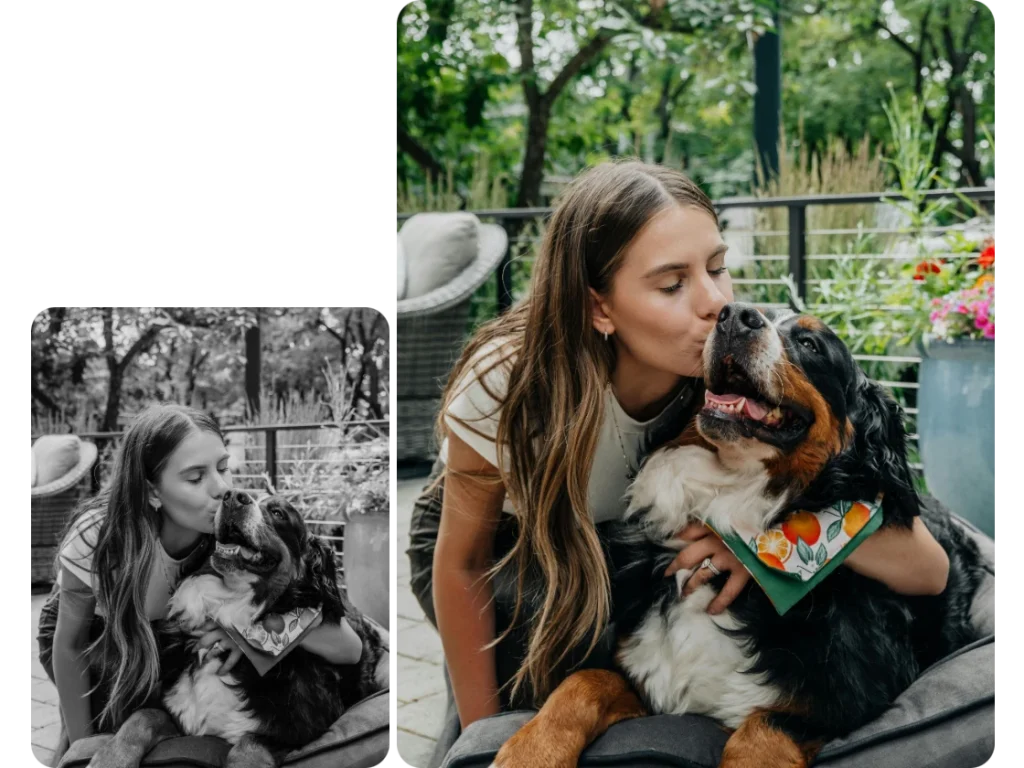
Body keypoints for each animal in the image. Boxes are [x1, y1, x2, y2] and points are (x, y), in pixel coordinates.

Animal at [88, 493, 389, 768]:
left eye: (278, 513)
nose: (234, 496)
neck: (231, 608)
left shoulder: (299, 727)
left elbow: (249, 745)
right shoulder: (175, 708)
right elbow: (142, 717)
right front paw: (111, 757)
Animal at [491, 303, 987, 765]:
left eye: (810, 344)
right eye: (730, 311)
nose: (736, 316)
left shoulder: (849, 693)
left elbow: (761, 732)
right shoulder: (643, 670)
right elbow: (586, 681)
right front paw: (531, 750)